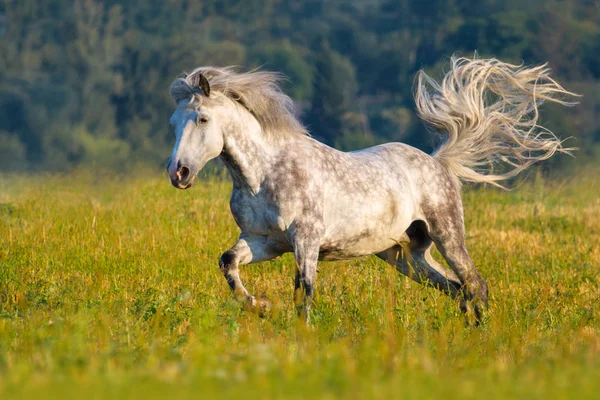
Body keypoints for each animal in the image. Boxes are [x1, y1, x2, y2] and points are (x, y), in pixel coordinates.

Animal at [164, 57, 576, 324]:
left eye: (202, 119)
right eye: (173, 122)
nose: (178, 173)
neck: (264, 174)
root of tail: (438, 163)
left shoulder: (306, 240)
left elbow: (304, 291)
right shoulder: (261, 241)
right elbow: (228, 264)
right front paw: (260, 306)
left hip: (448, 236)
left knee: (476, 285)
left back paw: (481, 335)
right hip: (406, 255)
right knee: (456, 288)